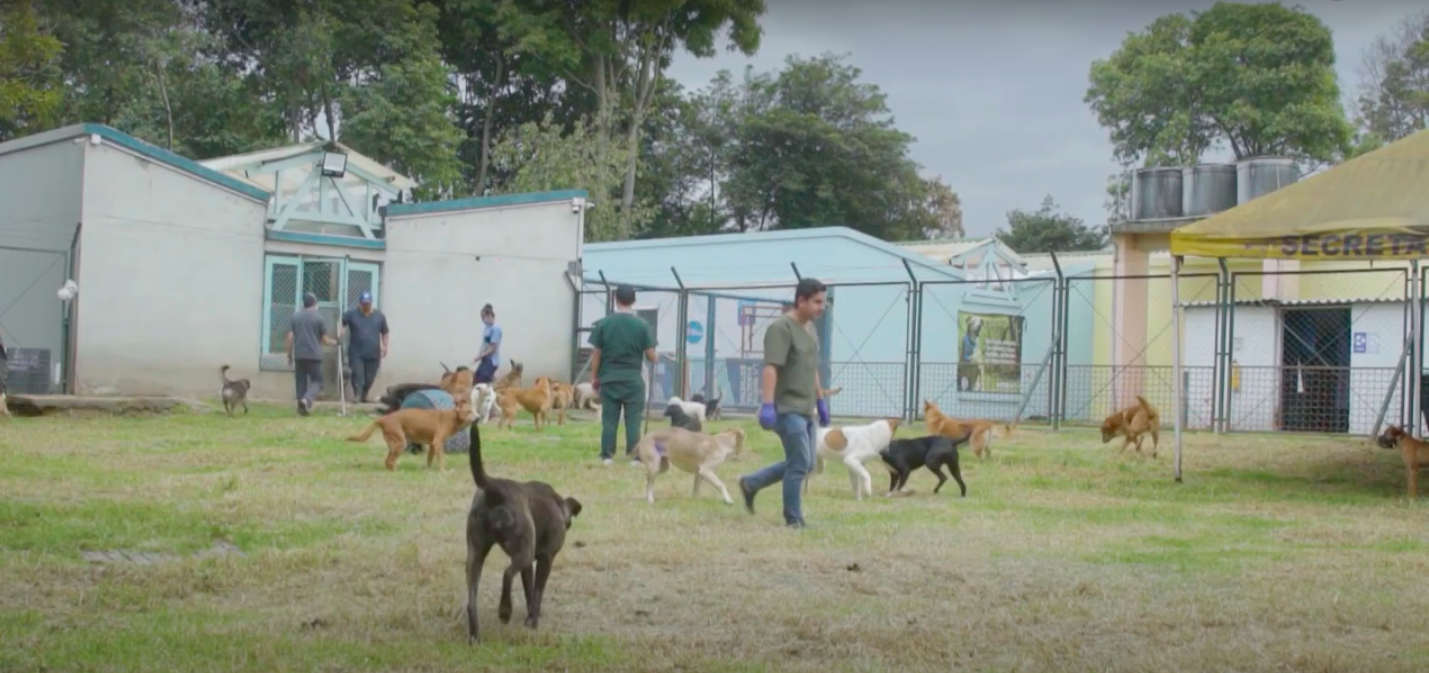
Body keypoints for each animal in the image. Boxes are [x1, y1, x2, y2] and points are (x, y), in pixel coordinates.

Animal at [347, 397, 477, 471]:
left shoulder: (432, 445)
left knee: (387, 462)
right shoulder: (437, 443)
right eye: (469, 411)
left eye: (476, 411)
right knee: (390, 462)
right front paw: (444, 471)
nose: (479, 417)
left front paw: (427, 470)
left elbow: (429, 459)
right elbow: (442, 459)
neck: (453, 417)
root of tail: (384, 418)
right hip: (400, 443)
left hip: (394, 444)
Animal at [468, 425, 580, 642]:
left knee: (471, 601)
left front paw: (531, 614)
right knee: (507, 574)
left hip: (475, 554)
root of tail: (494, 487)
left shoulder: (528, 564)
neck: (558, 505)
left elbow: (530, 590)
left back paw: (475, 635)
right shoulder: (546, 558)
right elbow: (538, 591)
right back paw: (505, 612)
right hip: (523, 551)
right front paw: (533, 619)